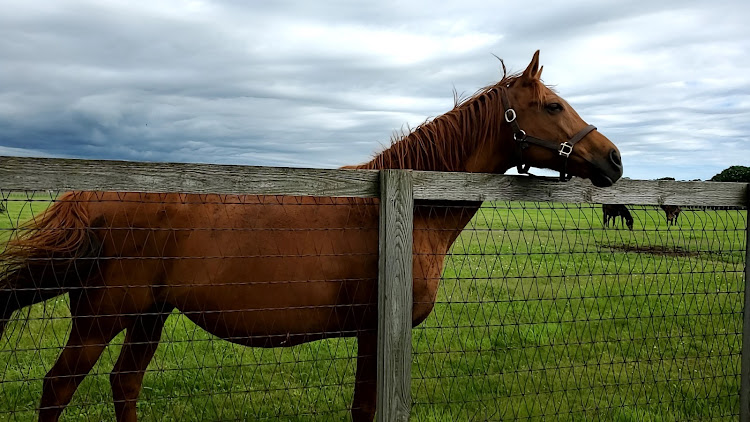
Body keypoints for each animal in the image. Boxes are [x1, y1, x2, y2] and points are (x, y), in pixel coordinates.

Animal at [0, 52, 624, 422]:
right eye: (552, 106)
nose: (614, 160)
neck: (406, 210)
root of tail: (87, 195)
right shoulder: (377, 332)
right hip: (101, 317)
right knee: (58, 388)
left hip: (148, 315)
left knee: (125, 383)